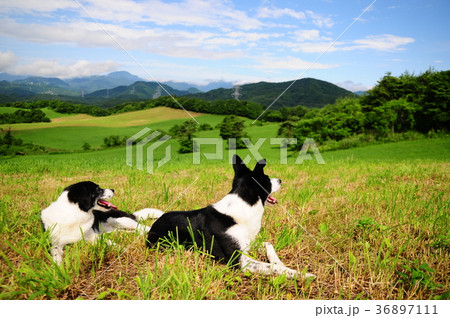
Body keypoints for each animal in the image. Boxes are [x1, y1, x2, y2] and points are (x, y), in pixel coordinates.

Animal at [147, 155, 312, 278]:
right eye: (267, 179)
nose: (280, 180)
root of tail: (152, 225)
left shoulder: (247, 244)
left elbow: (268, 244)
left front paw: (278, 261)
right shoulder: (239, 260)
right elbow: (272, 268)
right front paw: (302, 274)